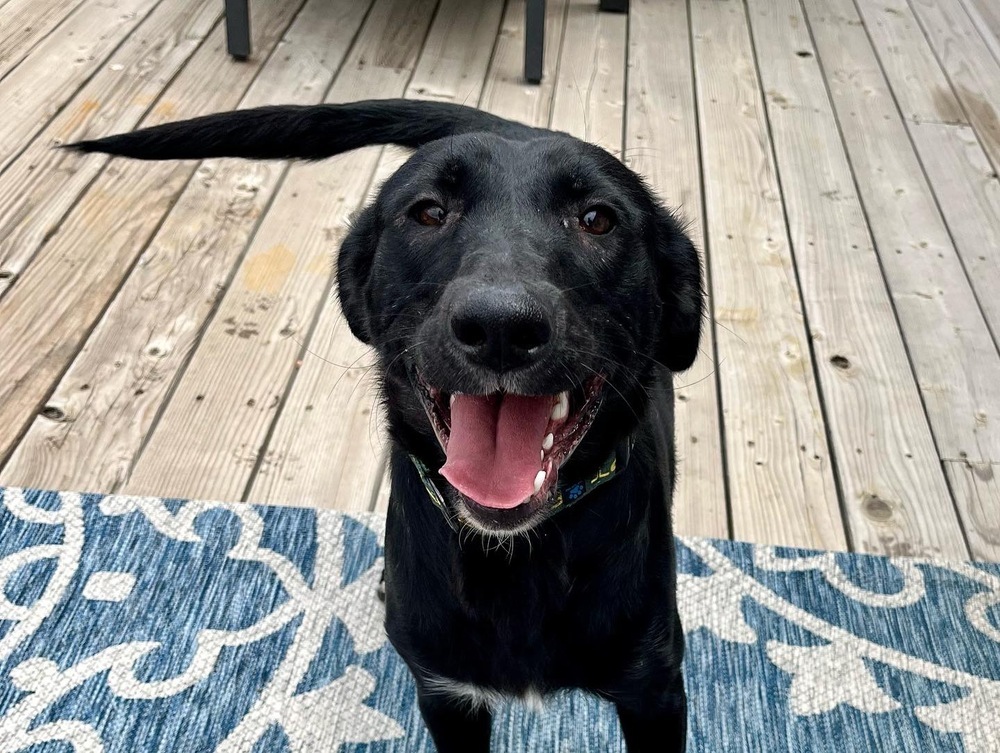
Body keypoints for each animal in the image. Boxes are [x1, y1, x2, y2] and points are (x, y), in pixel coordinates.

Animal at [72, 98, 704, 748]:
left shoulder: (654, 690)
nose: (501, 326)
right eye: (428, 212)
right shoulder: (446, 693)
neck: (515, 556)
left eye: (597, 219)